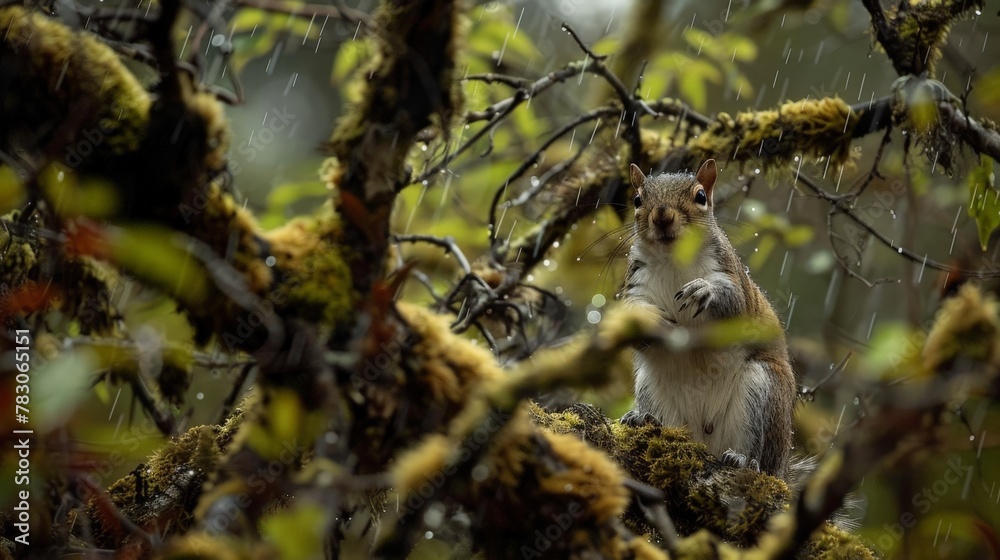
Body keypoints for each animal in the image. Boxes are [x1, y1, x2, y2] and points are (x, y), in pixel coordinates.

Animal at [619, 159, 797, 479]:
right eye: (637, 200)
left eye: (701, 196)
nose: (662, 215)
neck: (673, 258)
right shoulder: (635, 282)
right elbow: (631, 319)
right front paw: (650, 318)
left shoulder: (730, 273)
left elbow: (734, 301)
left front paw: (704, 290)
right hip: (651, 386)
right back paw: (645, 419)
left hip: (762, 390)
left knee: (756, 451)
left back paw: (742, 459)